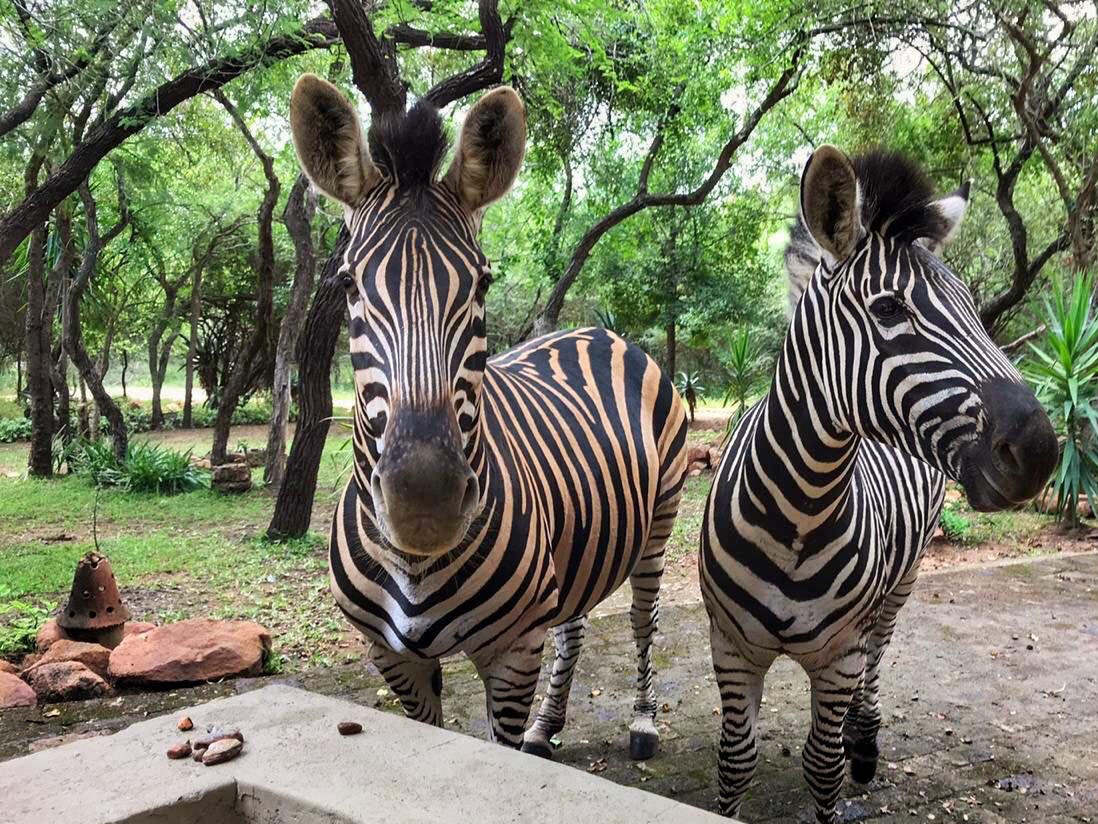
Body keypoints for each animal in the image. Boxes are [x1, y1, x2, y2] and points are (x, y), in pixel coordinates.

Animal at [288, 74, 688, 758]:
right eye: (347, 285)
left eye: (481, 284)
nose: (424, 504)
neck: (415, 567)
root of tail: (599, 333)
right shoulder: (393, 658)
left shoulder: (513, 649)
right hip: (580, 543)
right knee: (575, 626)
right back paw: (547, 726)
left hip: (659, 519)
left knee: (643, 617)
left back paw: (642, 720)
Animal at [700, 146, 1057, 823]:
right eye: (889, 308)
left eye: (973, 306)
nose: (1039, 454)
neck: (800, 510)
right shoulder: (731, 648)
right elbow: (733, 764)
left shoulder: (838, 655)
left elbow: (823, 767)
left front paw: (843, 759)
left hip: (903, 580)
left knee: (877, 652)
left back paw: (863, 740)